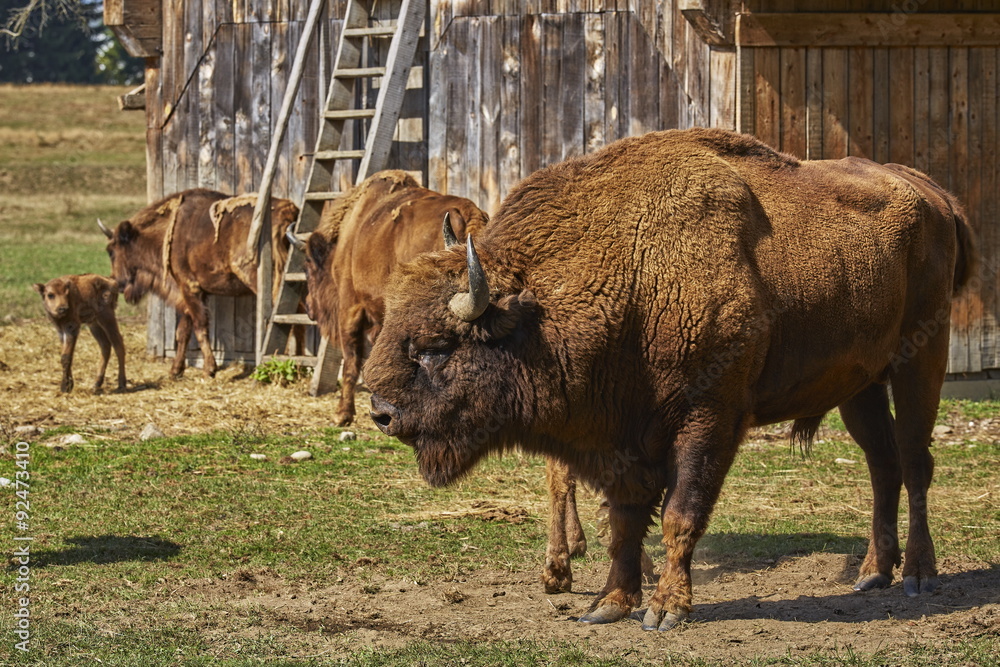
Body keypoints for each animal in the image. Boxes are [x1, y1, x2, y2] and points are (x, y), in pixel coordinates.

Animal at [99, 189, 298, 378]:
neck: (168, 230)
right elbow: (183, 331)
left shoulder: (189, 287)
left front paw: (209, 369)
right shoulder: (192, 293)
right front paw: (175, 371)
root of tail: (287, 210)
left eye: (111, 251)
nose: (116, 281)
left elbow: (199, 325)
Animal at [363, 128, 977, 631]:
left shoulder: (708, 418)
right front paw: (608, 604)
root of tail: (934, 194)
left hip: (920, 361)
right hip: (860, 385)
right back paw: (872, 573)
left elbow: (682, 512)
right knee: (882, 465)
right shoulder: (620, 436)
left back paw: (919, 575)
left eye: (437, 347)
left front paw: (666, 610)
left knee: (915, 461)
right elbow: (625, 521)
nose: (381, 412)